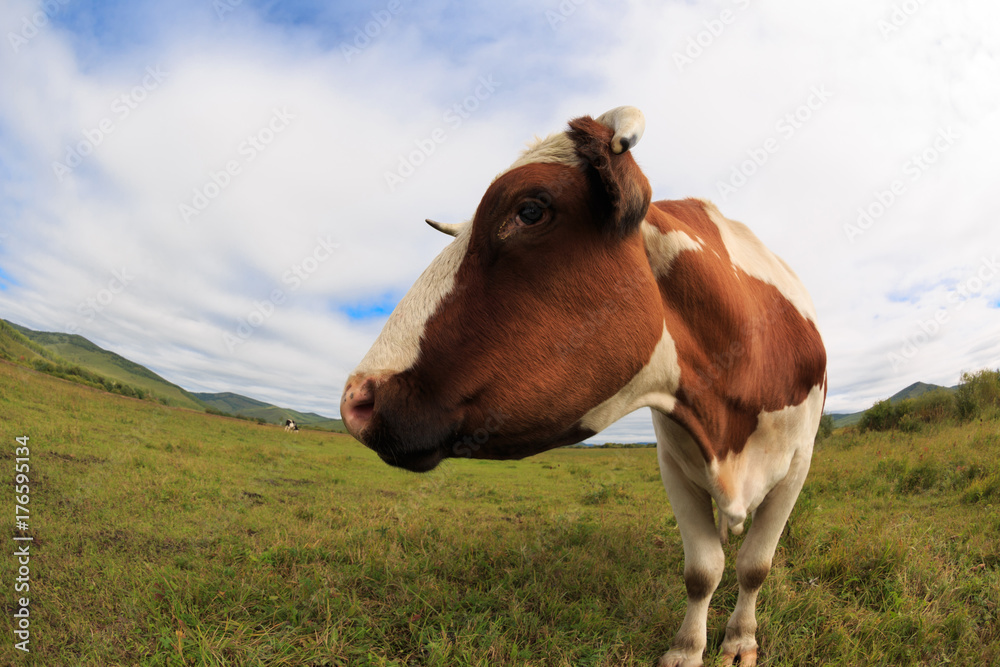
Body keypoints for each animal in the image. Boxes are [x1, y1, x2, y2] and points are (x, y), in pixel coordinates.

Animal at [344, 108, 828, 667]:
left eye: (530, 210)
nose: (356, 400)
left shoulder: (798, 465)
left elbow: (754, 566)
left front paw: (740, 641)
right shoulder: (673, 463)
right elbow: (703, 570)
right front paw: (687, 649)